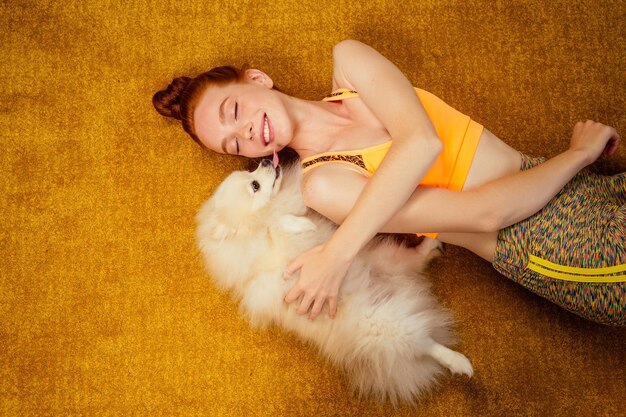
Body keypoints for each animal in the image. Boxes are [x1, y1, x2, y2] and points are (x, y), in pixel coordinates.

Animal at [195, 158, 468, 404]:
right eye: (255, 185)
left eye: (250, 173)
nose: (265, 161)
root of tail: (396, 286)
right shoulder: (276, 258)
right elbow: (275, 227)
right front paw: (299, 224)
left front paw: (299, 219)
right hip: (385, 324)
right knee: (426, 344)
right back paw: (458, 362)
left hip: (386, 257)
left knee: (416, 261)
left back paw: (428, 245)